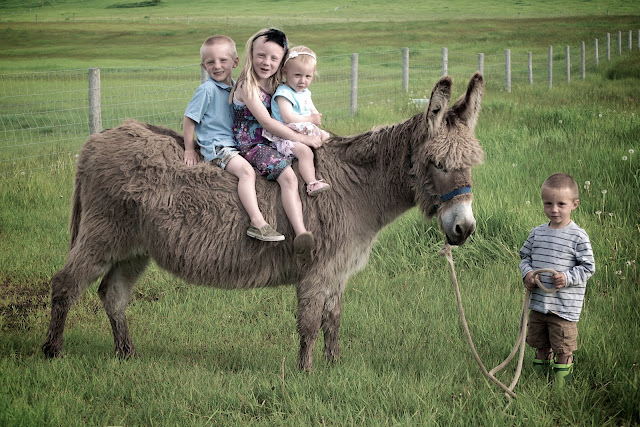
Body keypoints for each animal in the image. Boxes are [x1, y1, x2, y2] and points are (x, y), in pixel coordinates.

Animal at [42, 72, 485, 371]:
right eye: (437, 164)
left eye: (473, 164)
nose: (464, 229)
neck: (357, 188)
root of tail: (95, 140)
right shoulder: (318, 269)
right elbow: (310, 323)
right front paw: (307, 374)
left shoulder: (337, 272)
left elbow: (333, 321)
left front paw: (333, 368)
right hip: (102, 236)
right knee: (65, 284)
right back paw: (51, 353)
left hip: (135, 248)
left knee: (113, 294)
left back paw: (127, 355)